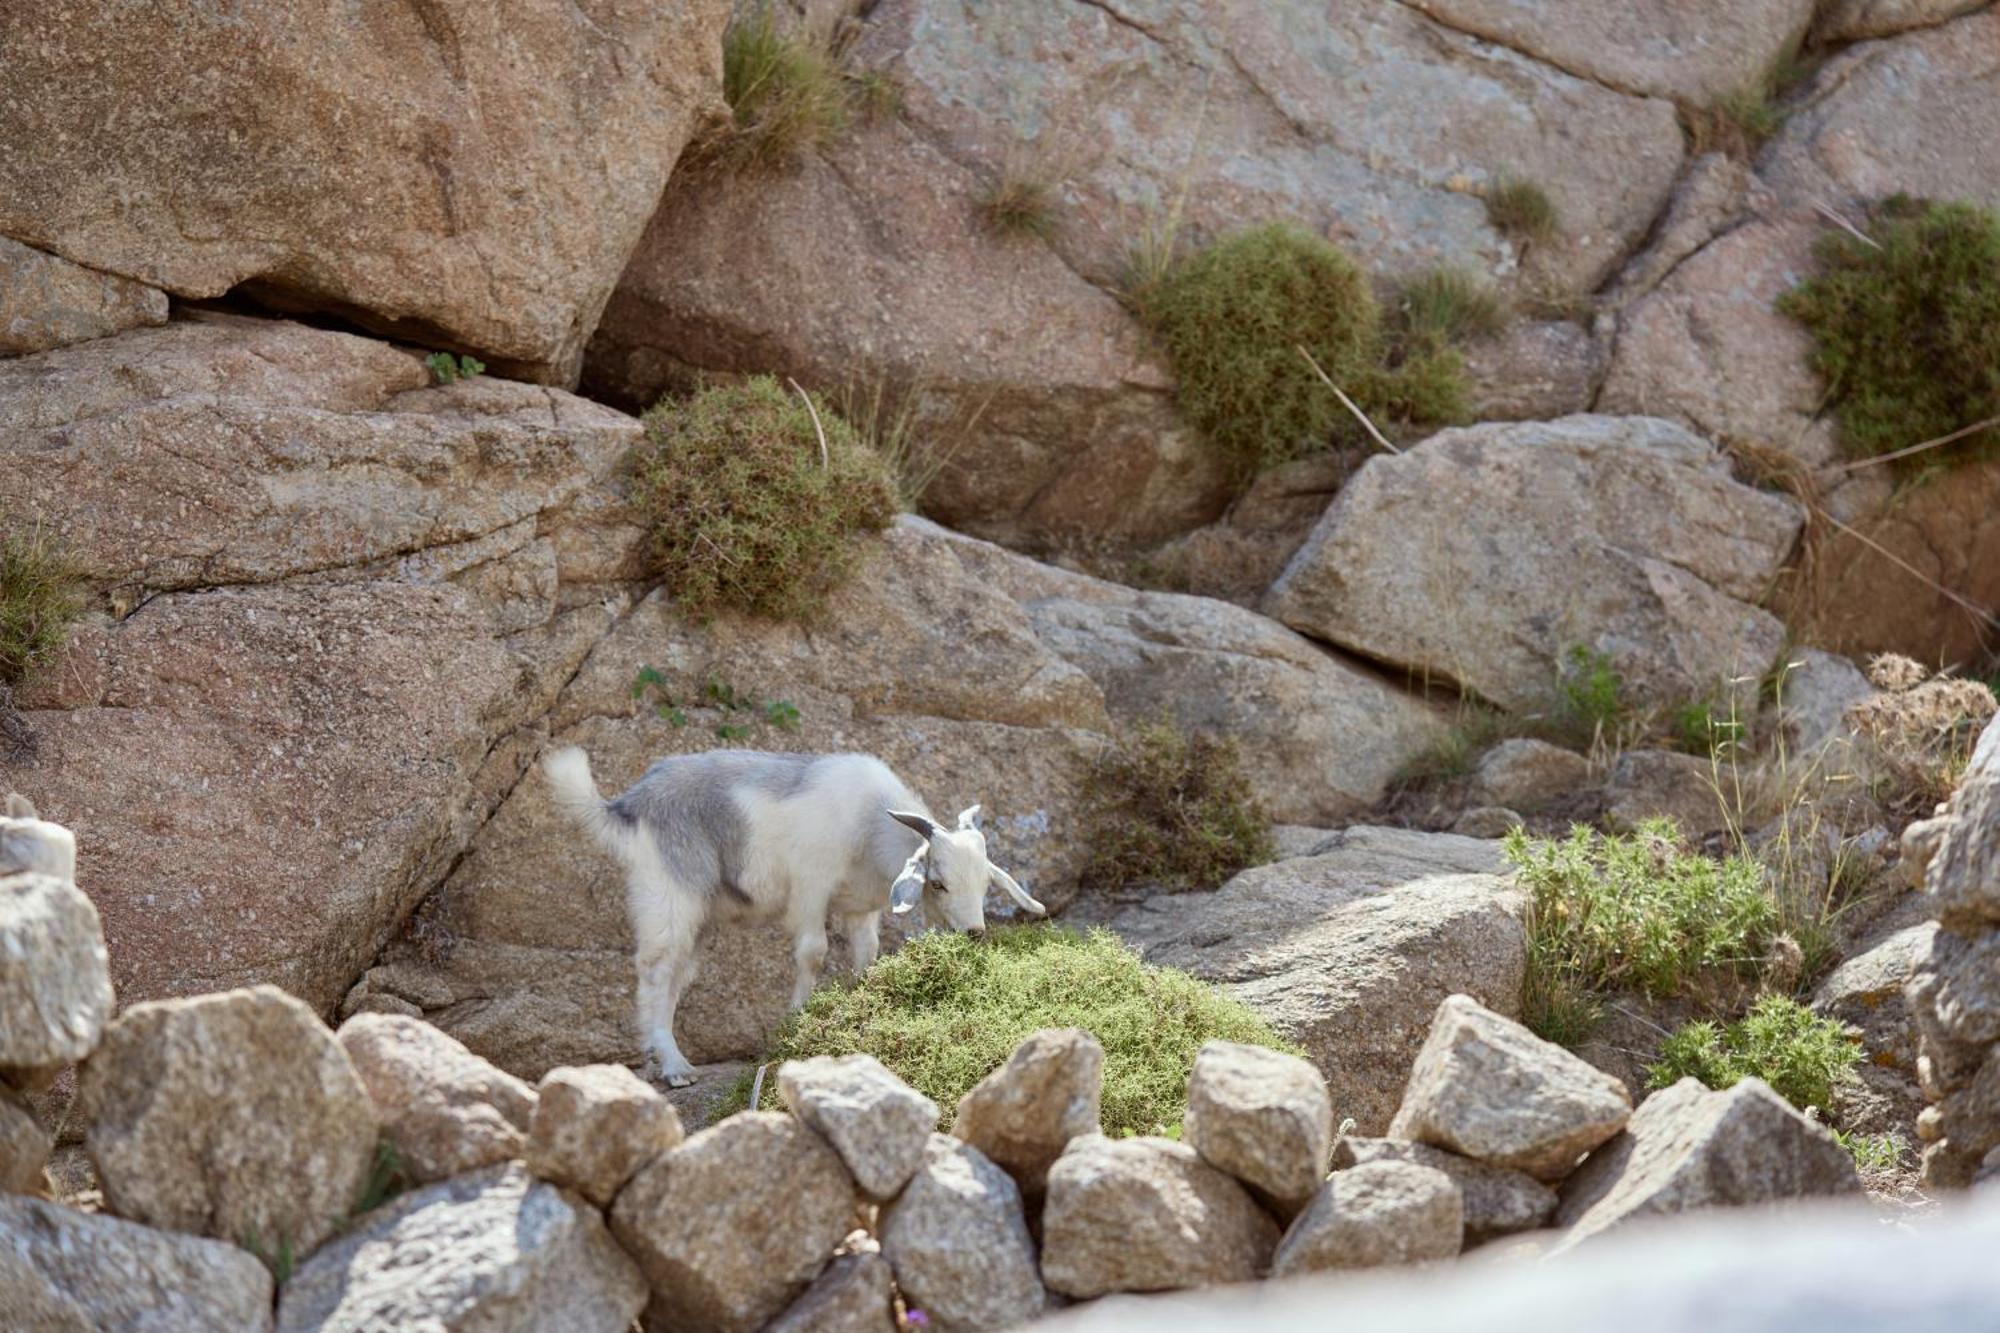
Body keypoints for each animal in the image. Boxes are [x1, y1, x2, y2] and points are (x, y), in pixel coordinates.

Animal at [548, 740, 1048, 1088]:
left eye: (985, 884)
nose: (973, 932)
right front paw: (796, 1021)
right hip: (670, 896)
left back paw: (664, 1062)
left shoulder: (858, 909)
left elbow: (866, 955)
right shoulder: (810, 889)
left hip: (698, 917)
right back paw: (674, 1068)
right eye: (938, 882)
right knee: (654, 973)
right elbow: (813, 952)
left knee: (675, 978)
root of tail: (627, 805)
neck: (868, 823)